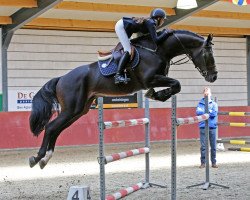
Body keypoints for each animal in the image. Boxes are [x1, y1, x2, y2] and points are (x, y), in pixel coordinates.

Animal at [28, 29, 217, 169]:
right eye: (208, 54)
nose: (213, 77)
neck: (159, 50)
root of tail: (61, 78)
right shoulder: (150, 79)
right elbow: (176, 84)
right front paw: (157, 95)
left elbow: (175, 86)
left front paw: (156, 95)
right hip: (71, 109)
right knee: (51, 127)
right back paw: (37, 158)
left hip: (78, 110)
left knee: (56, 129)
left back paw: (45, 159)